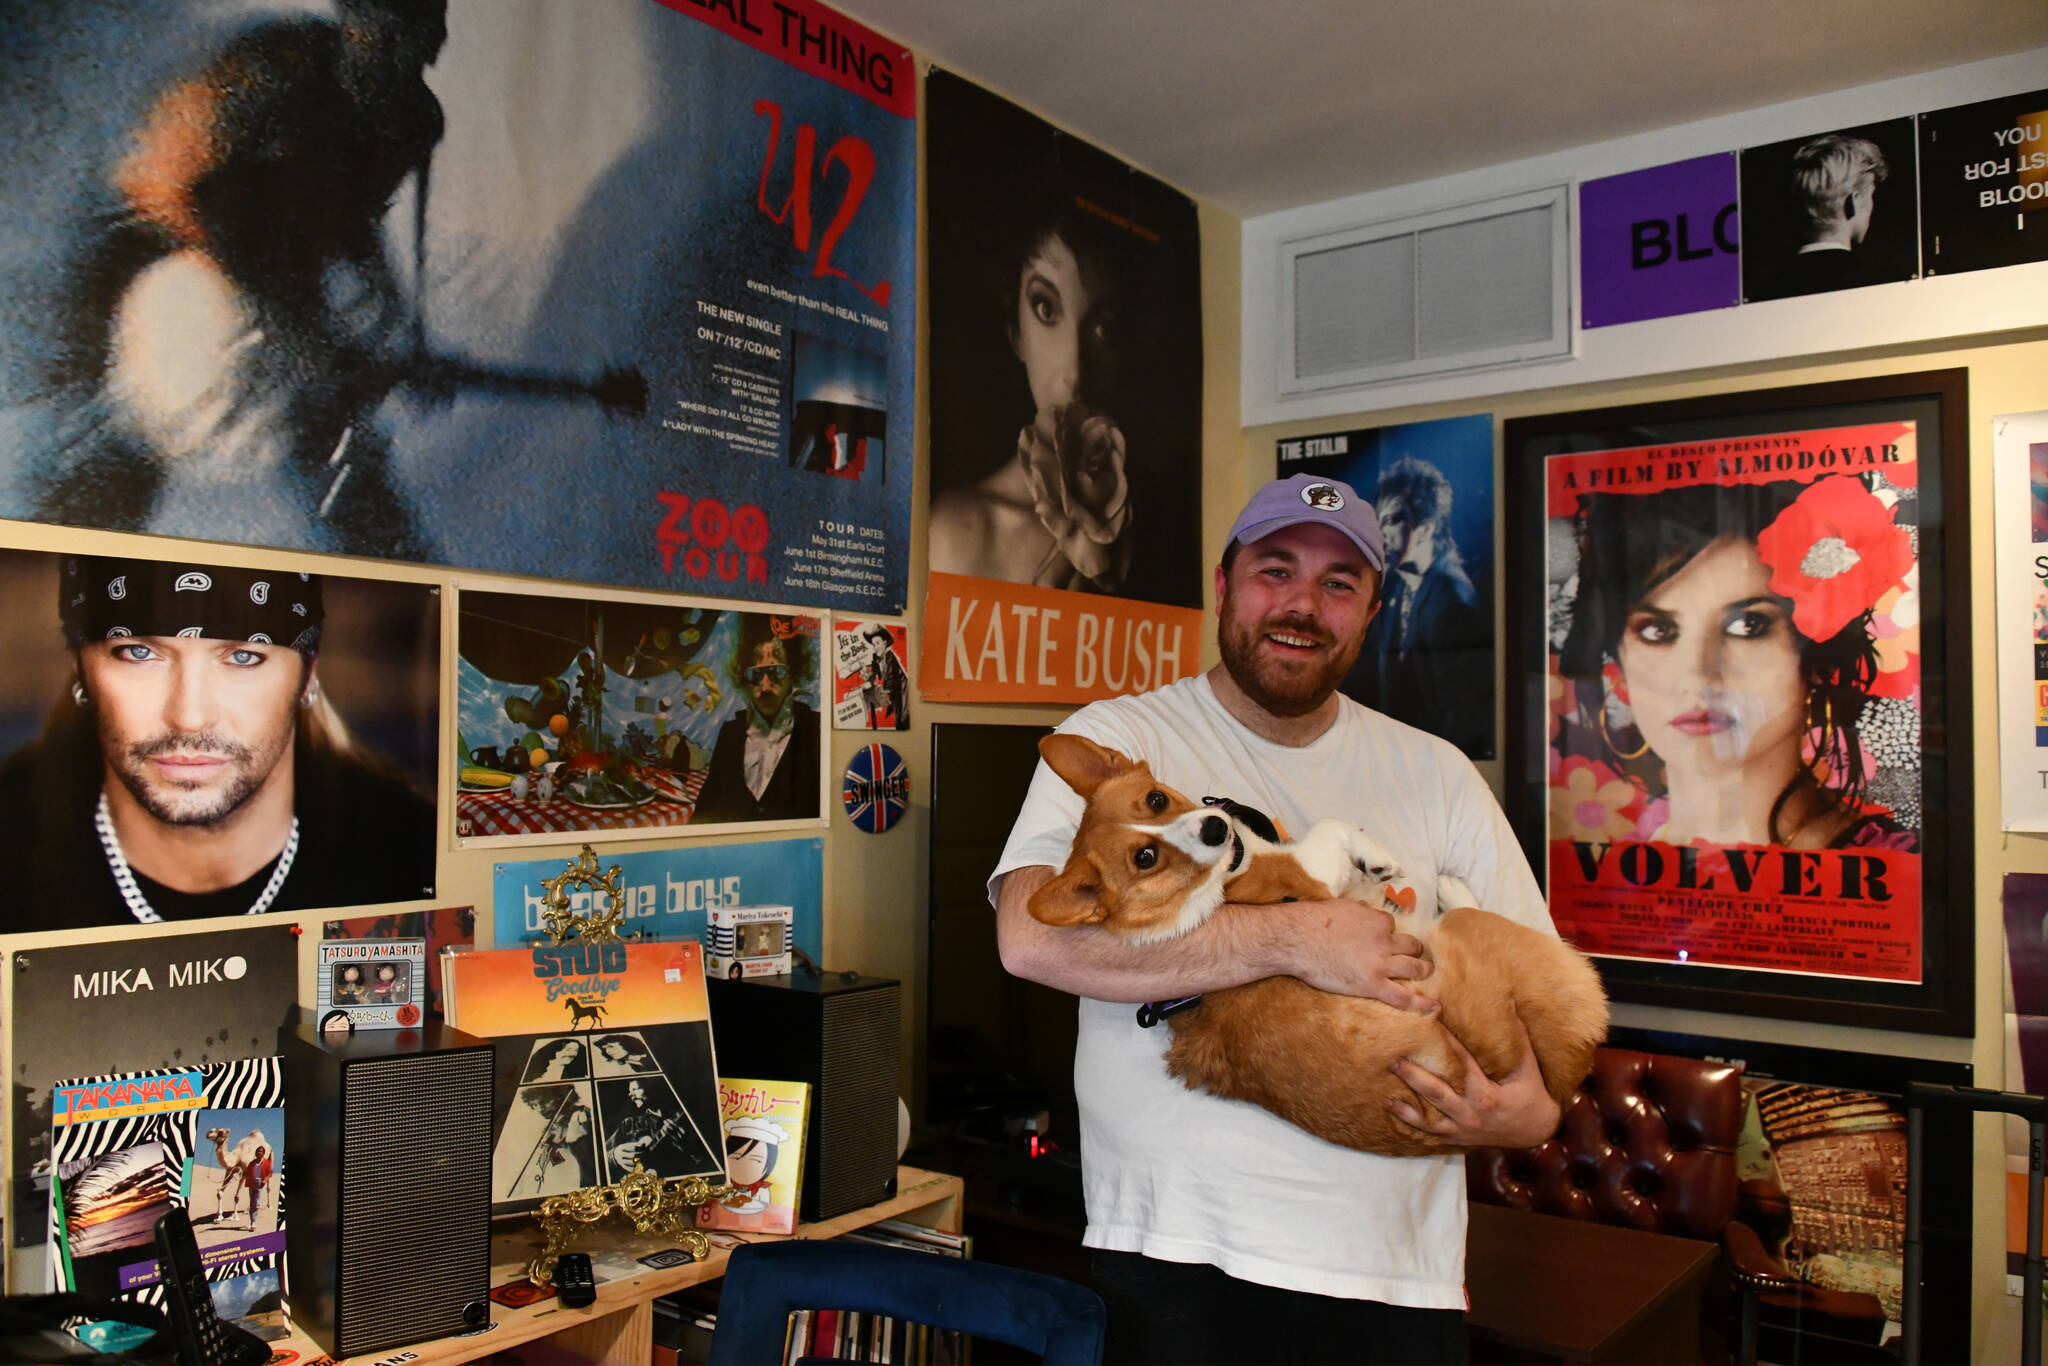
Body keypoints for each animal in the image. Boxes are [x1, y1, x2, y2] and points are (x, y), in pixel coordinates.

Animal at [1032, 733, 1605, 1163]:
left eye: (1155, 799)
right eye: (1146, 857)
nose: (1216, 826)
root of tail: (1559, 1075)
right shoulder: (1311, 875)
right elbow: (1334, 827)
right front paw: (1377, 860)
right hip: (1478, 938)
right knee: (1471, 914)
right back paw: (1448, 890)